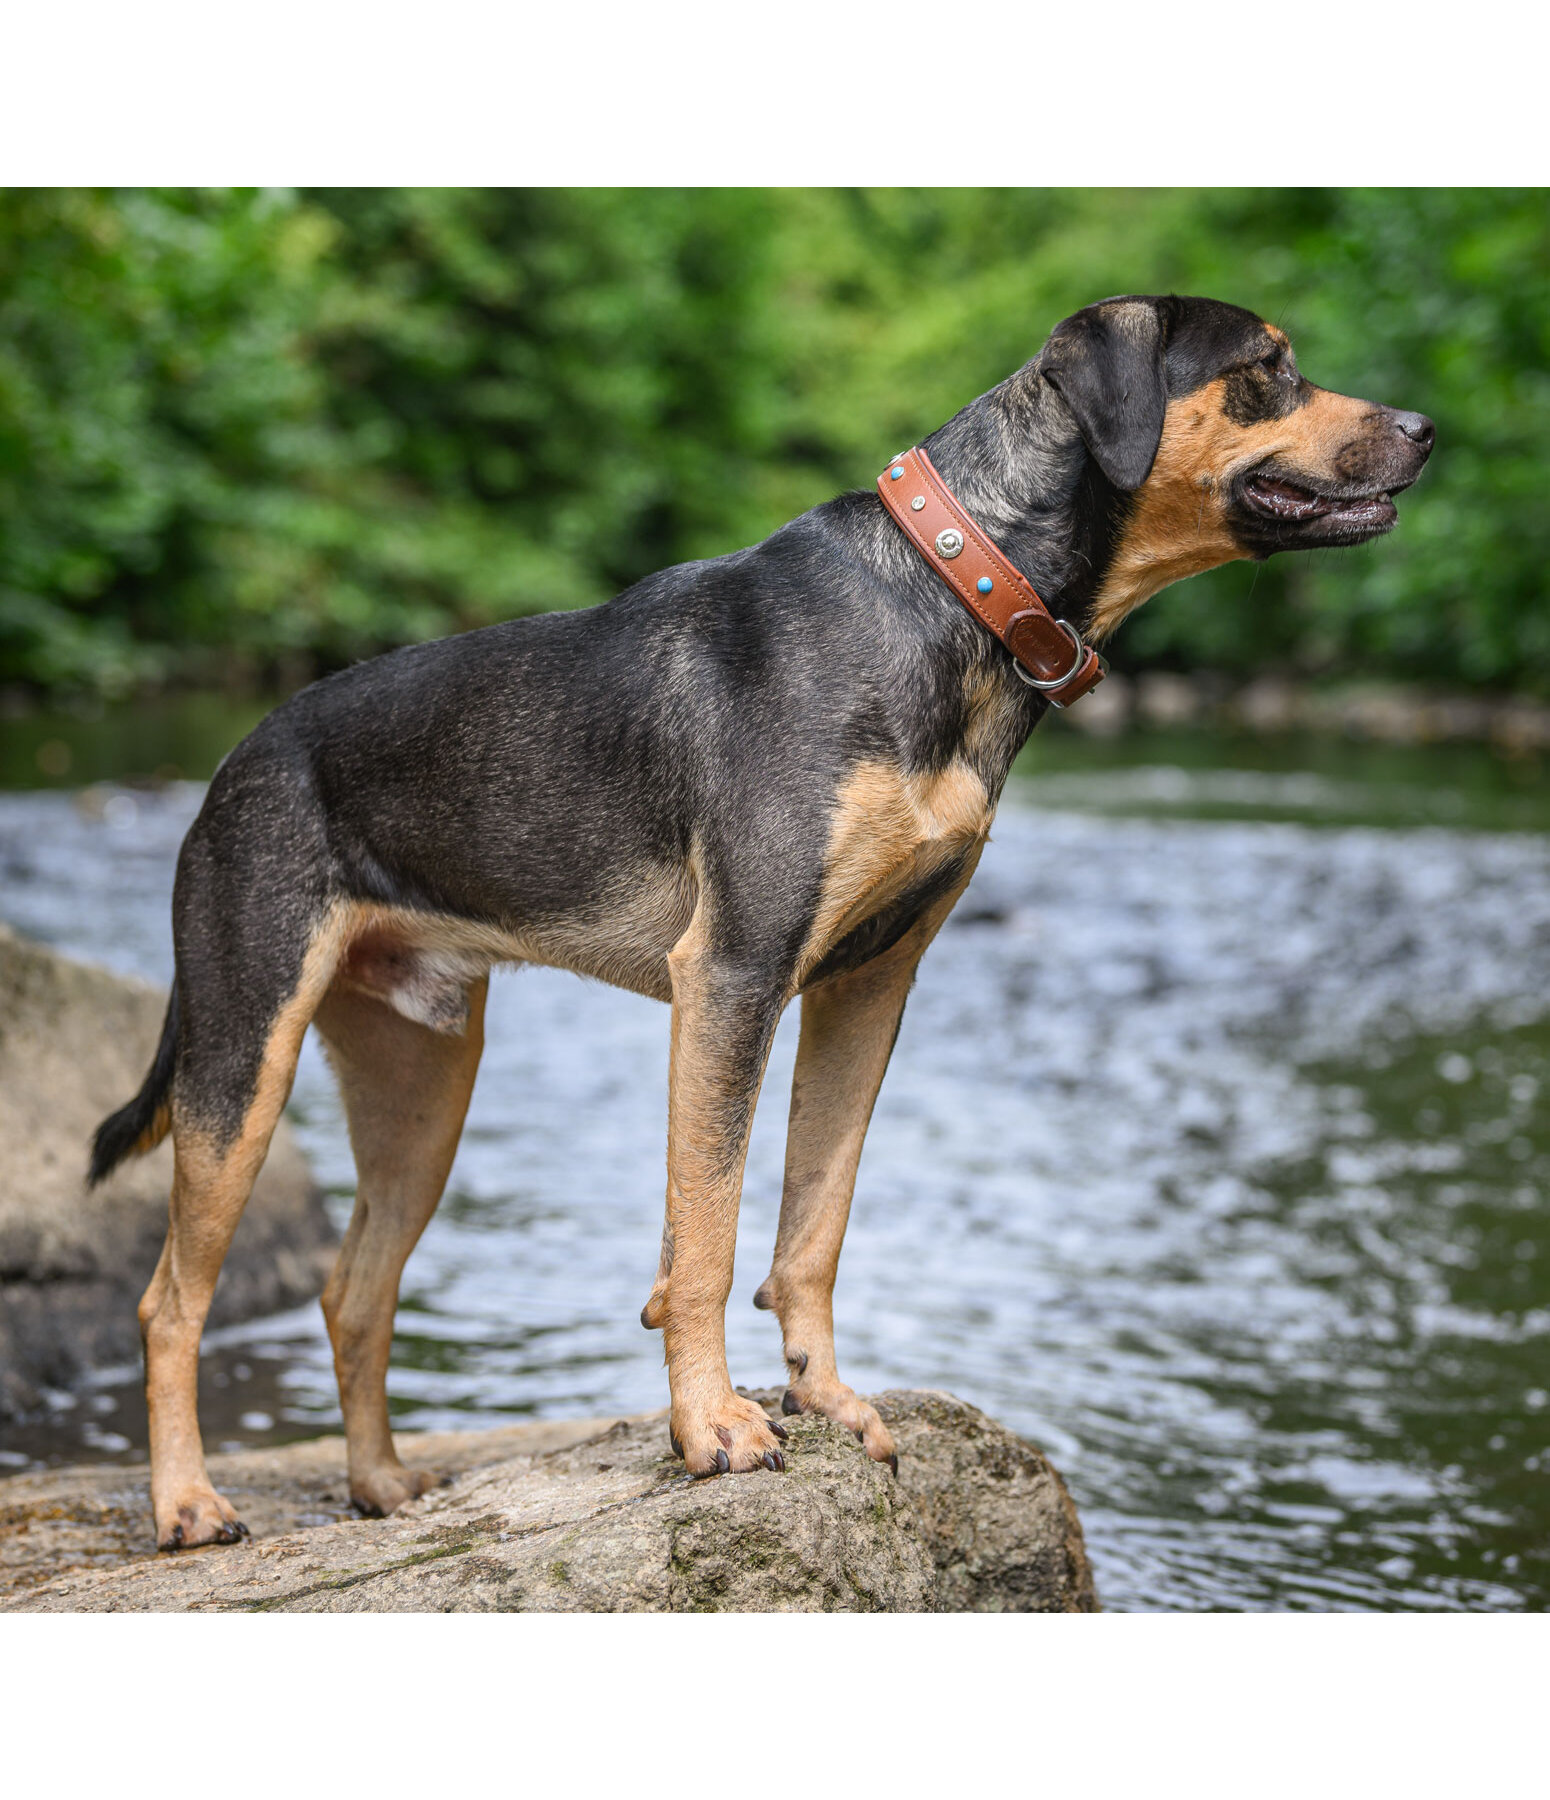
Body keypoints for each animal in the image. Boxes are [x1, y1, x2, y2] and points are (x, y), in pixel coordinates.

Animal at [93, 291, 1425, 1548]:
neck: (954, 592)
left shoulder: (865, 985)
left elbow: (811, 1227)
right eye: (1265, 366)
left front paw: (824, 1400)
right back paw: (188, 1507)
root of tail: (229, 768)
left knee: (353, 1292)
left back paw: (378, 1488)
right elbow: (705, 1239)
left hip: (422, 1084)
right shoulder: (733, 974)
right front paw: (714, 1430)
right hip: (244, 1053)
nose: (1423, 428)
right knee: (170, 1302)